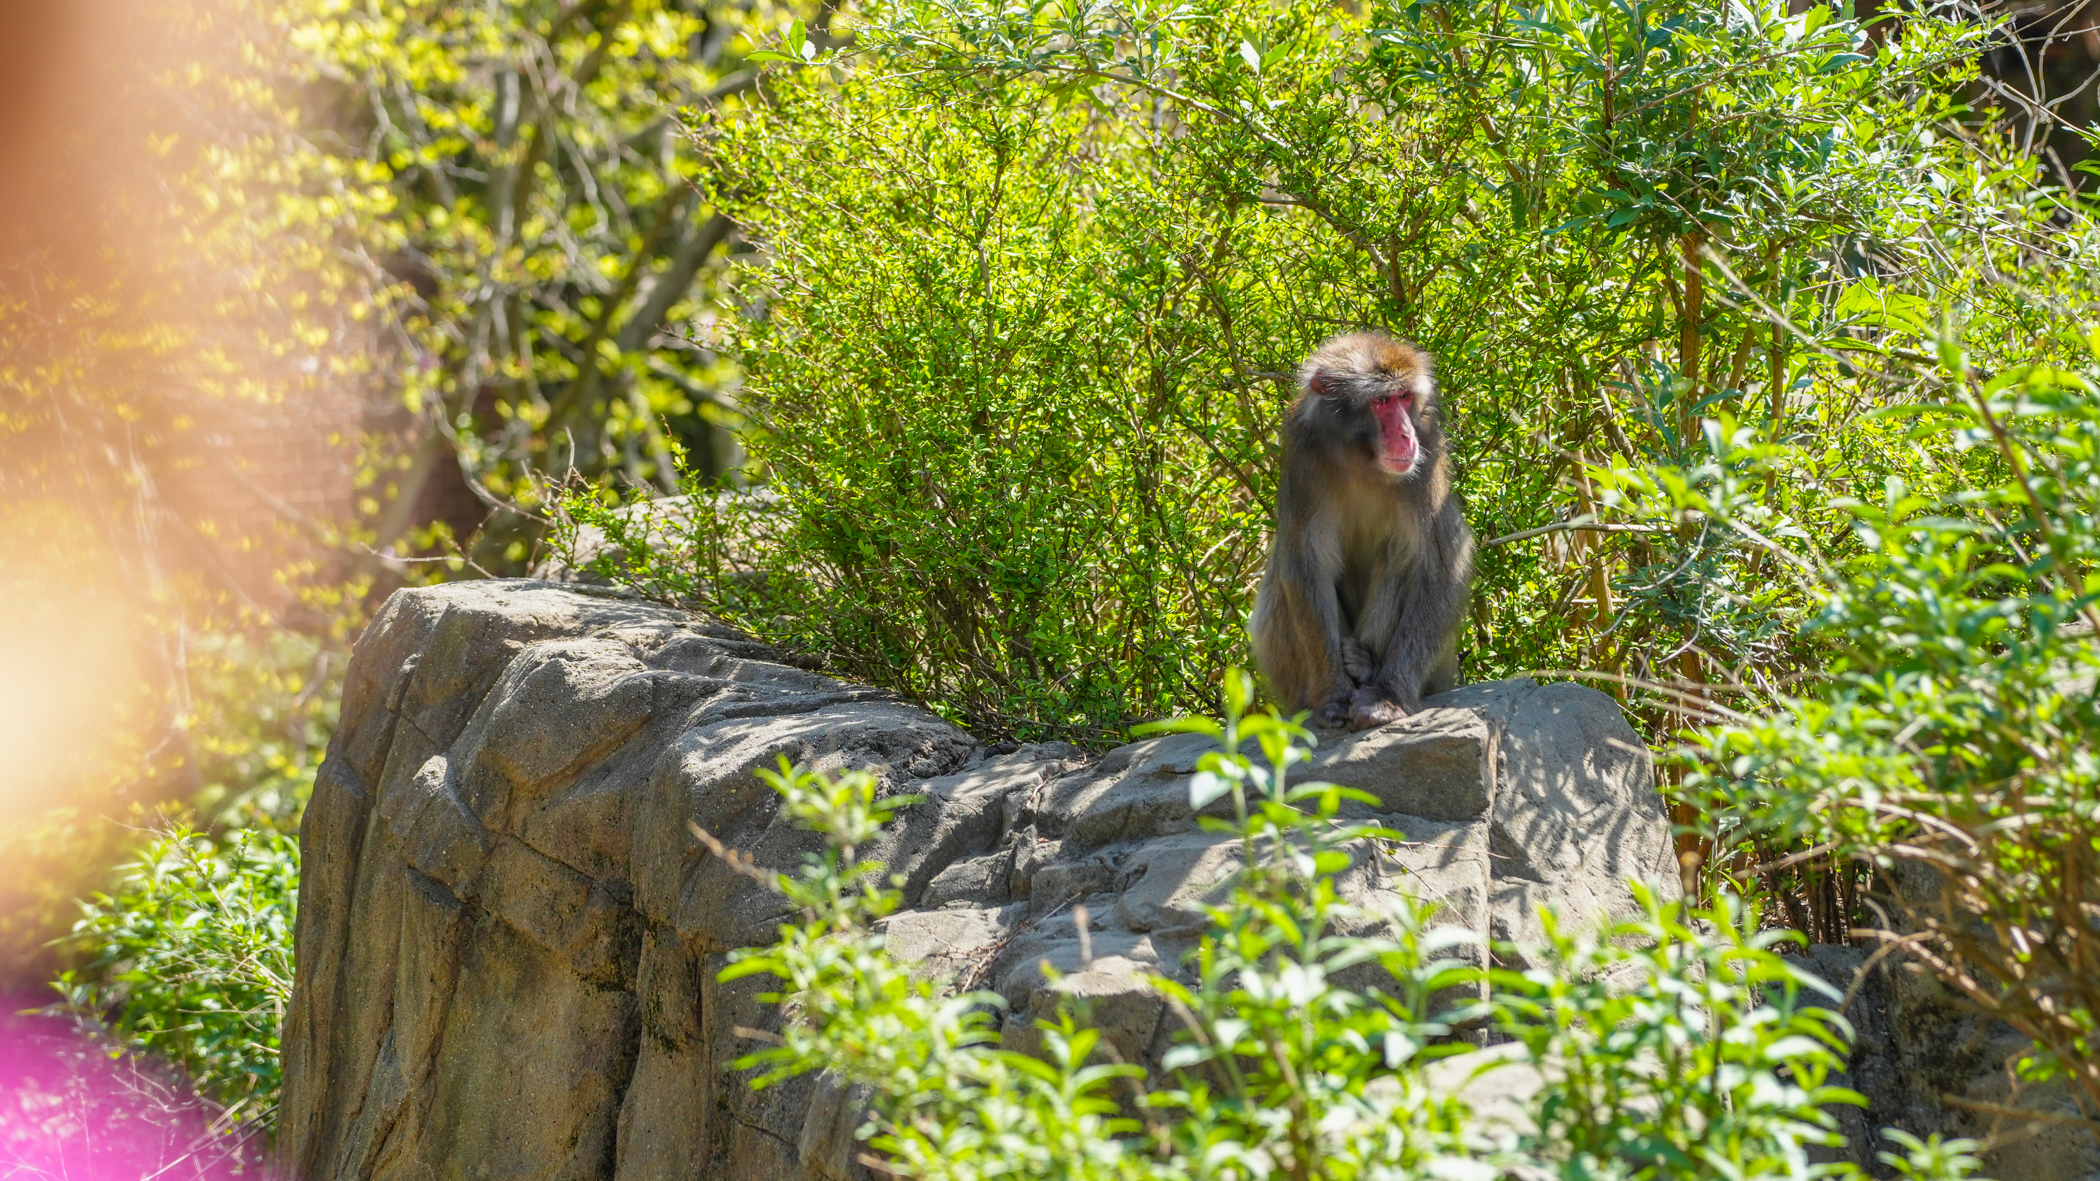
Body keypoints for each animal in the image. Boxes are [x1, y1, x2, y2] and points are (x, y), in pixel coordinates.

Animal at [1248, 331, 1475, 730]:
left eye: (1404, 397)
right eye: (1382, 401)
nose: (1406, 434)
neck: (1362, 459)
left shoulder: (1428, 451)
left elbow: (1443, 562)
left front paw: (1388, 697)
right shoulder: (1303, 455)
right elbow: (1305, 565)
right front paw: (1333, 696)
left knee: (1403, 555)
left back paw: (1367, 667)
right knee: (1280, 576)